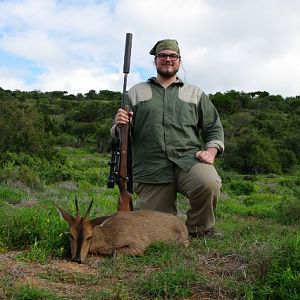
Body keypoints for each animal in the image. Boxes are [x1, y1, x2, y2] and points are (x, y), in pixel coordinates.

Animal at [55, 198, 189, 264]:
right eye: (71, 235)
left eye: (89, 236)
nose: (77, 259)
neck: (106, 234)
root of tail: (180, 222)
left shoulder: (138, 246)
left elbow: (115, 253)